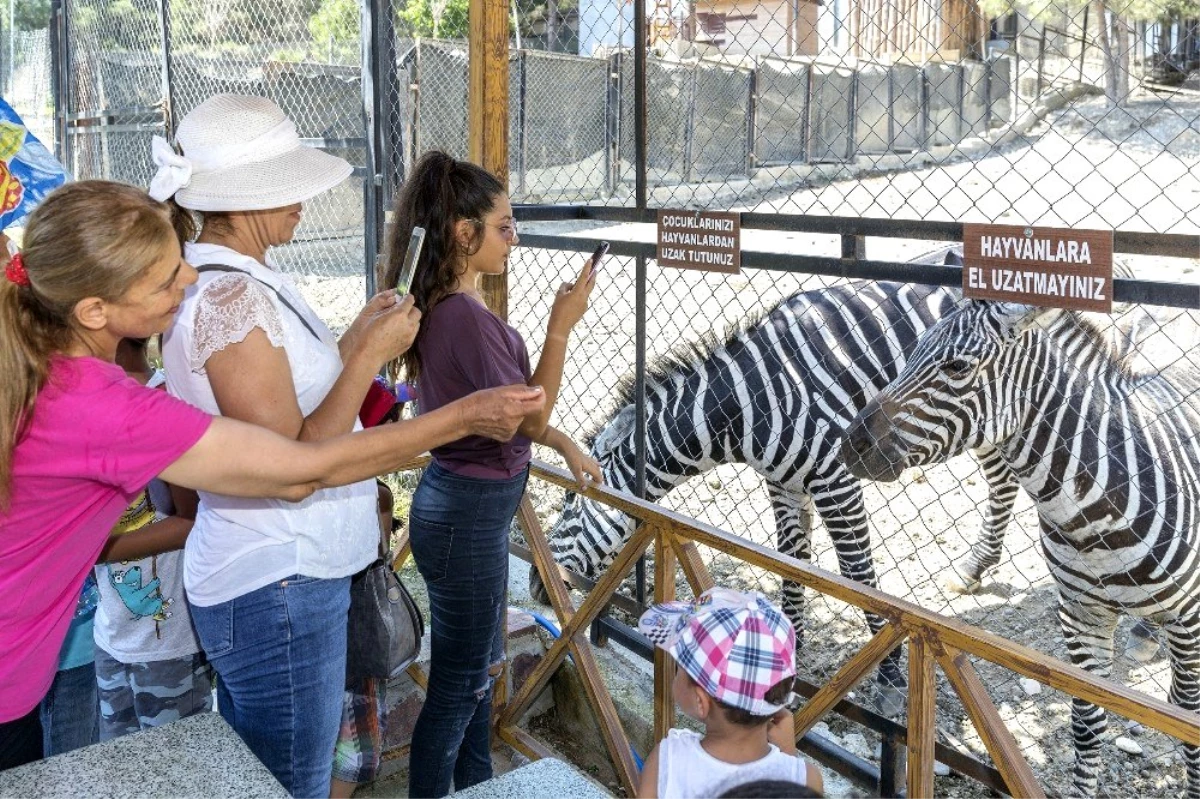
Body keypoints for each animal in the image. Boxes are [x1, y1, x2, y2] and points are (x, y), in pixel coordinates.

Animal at [535, 277, 1022, 710]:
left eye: (569, 502)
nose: (537, 585)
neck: (745, 403)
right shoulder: (783, 484)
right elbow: (791, 561)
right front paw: (785, 648)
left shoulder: (836, 481)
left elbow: (859, 574)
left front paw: (888, 681)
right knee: (1004, 479)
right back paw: (975, 567)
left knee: (1003, 480)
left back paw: (974, 567)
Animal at [840, 295, 1200, 791]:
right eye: (911, 352)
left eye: (957, 367)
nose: (849, 445)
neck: (1090, 518)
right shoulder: (1080, 616)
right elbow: (1086, 725)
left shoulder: (1191, 621)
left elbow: (1188, 724)